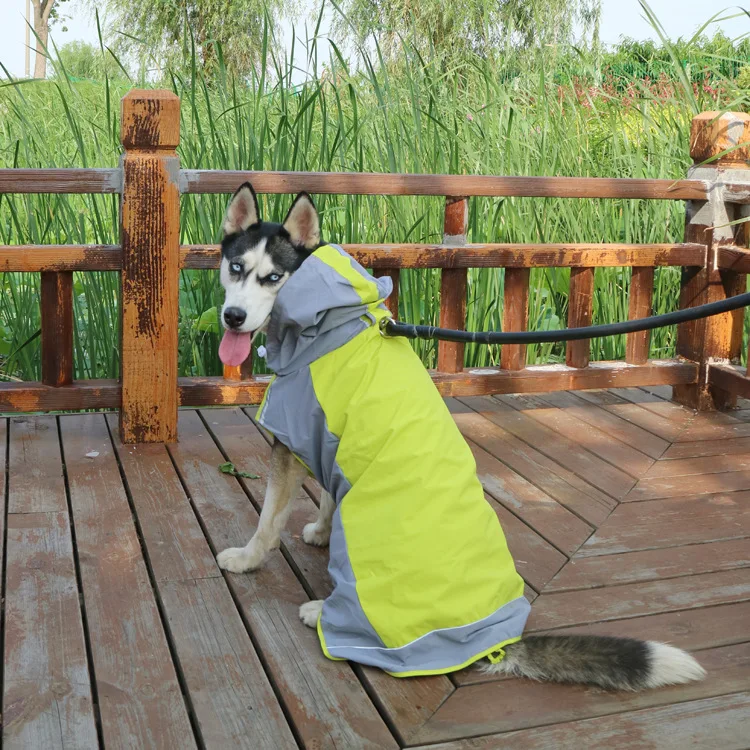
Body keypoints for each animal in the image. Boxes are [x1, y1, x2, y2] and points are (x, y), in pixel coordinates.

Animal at [214, 184, 708, 692]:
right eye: (236, 268)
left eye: (274, 277)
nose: (233, 317)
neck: (327, 321)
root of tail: (492, 640)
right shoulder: (331, 442)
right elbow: (331, 496)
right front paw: (319, 529)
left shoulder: (292, 443)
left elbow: (268, 522)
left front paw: (248, 559)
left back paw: (322, 614)